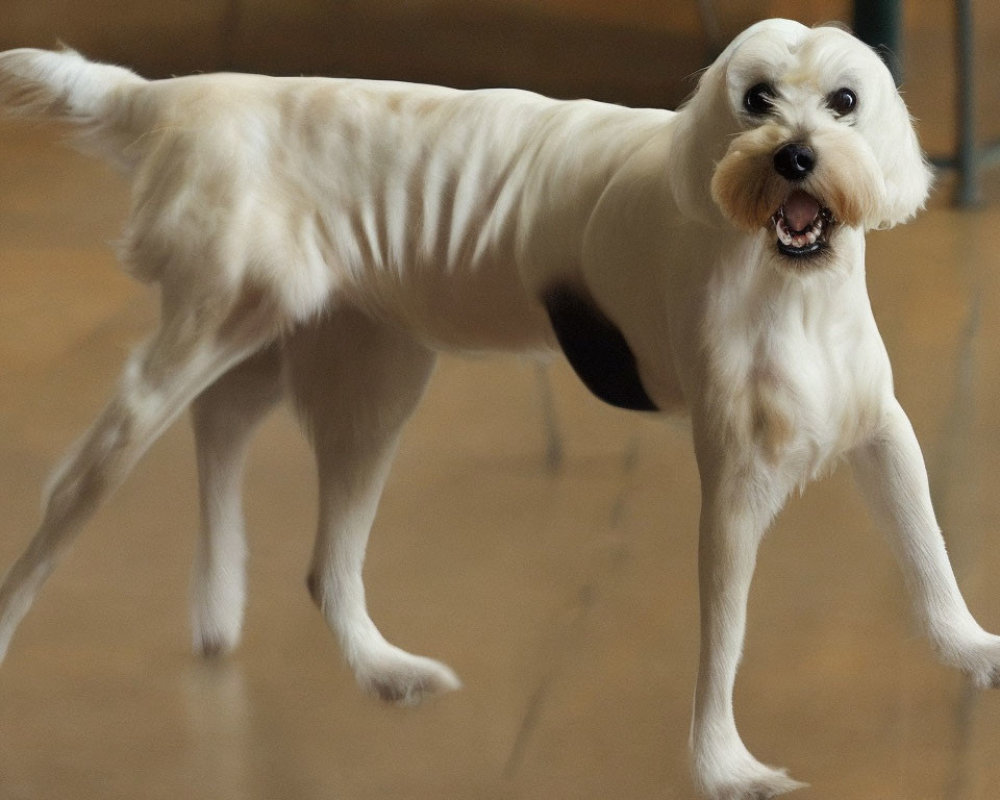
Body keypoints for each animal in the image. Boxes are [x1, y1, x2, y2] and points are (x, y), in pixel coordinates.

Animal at [0, 18, 992, 800]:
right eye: (755, 100)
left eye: (845, 101)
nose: (794, 156)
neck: (790, 283)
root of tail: (176, 98)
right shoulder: (737, 484)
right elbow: (726, 635)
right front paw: (723, 767)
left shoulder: (882, 433)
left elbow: (930, 552)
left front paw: (971, 647)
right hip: (207, 342)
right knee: (77, 485)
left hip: (350, 370)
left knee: (279, 499)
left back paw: (316, 645)